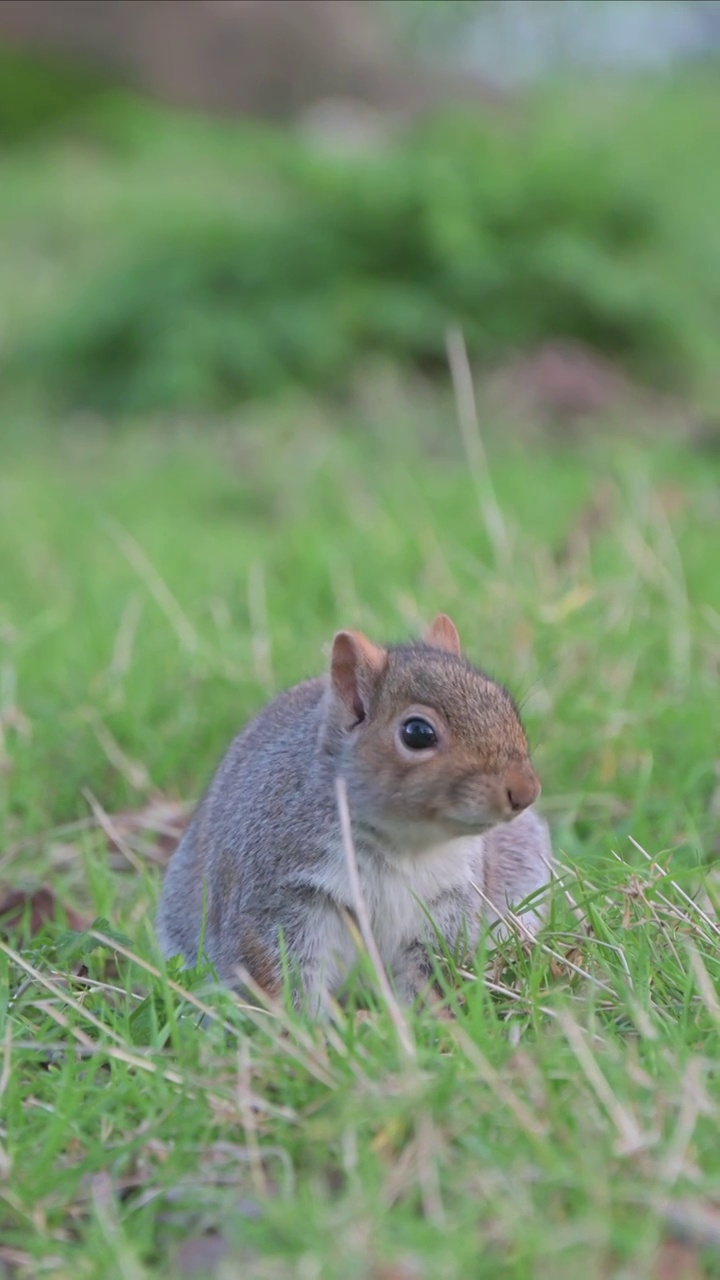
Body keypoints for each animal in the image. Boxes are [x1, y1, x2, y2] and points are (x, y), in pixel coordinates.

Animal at [156, 611, 548, 1008]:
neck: (406, 844)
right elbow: (285, 975)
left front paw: (421, 1017)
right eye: (417, 733)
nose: (525, 791)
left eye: (505, 703)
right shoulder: (279, 898)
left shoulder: (447, 903)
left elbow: (429, 972)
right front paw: (305, 1023)